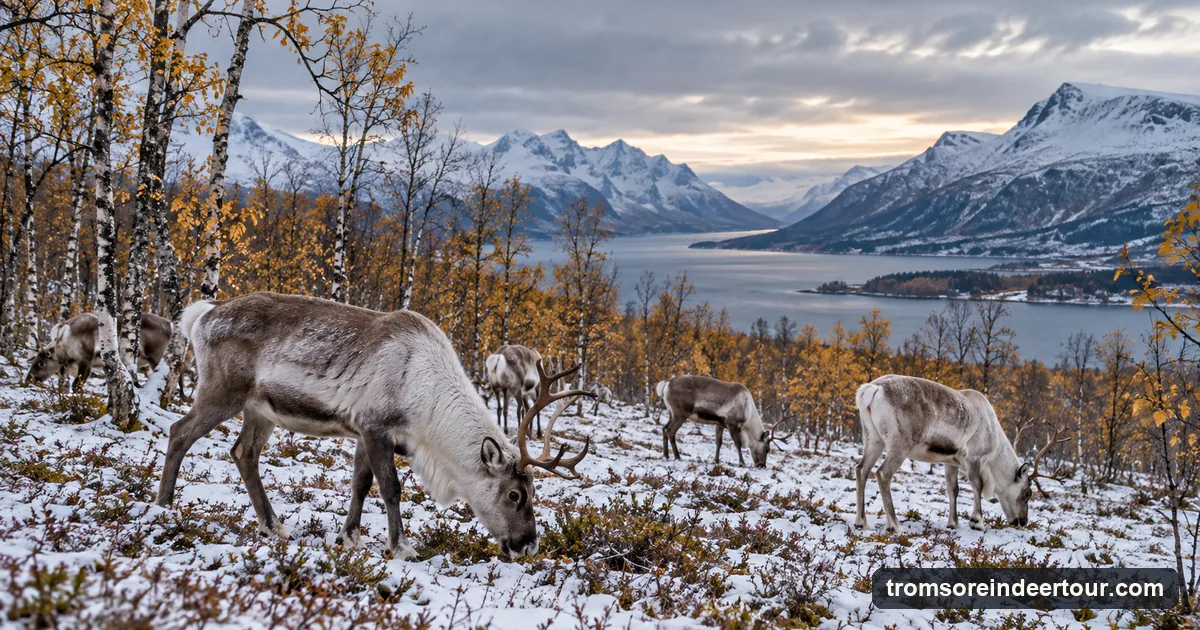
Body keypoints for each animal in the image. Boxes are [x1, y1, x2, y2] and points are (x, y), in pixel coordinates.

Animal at [24, 311, 173, 390]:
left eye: (40, 363)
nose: (28, 379)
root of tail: (170, 325)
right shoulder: (71, 364)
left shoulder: (86, 360)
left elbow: (77, 385)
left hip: (156, 358)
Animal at [153, 292, 593, 559]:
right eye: (516, 494)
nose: (528, 545)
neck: (426, 407)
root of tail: (200, 316)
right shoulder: (376, 427)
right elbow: (391, 488)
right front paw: (402, 547)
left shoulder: (363, 431)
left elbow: (360, 485)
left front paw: (348, 536)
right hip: (223, 390)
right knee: (180, 432)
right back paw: (163, 506)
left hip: (259, 409)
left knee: (244, 453)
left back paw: (273, 525)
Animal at [853, 374, 1069, 533]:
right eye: (1027, 493)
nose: (1022, 521)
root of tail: (873, 389)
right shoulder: (974, 458)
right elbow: (978, 486)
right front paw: (977, 521)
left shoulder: (950, 461)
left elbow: (953, 489)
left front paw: (953, 523)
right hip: (900, 443)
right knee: (882, 474)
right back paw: (895, 525)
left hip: (873, 438)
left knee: (861, 469)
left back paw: (861, 522)